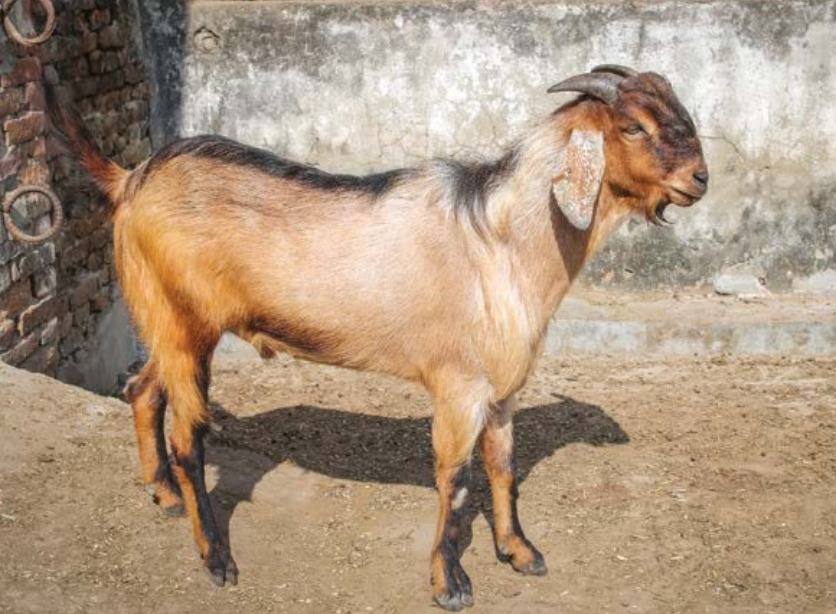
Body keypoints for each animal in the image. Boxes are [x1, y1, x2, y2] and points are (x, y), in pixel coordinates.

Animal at [48, 65, 707, 611]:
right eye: (632, 126)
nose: (699, 178)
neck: (501, 241)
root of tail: (132, 177)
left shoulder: (504, 389)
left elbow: (503, 468)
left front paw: (519, 552)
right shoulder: (459, 386)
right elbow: (455, 481)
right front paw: (450, 583)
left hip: (168, 322)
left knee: (141, 389)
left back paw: (162, 495)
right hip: (185, 326)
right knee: (188, 437)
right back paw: (216, 558)